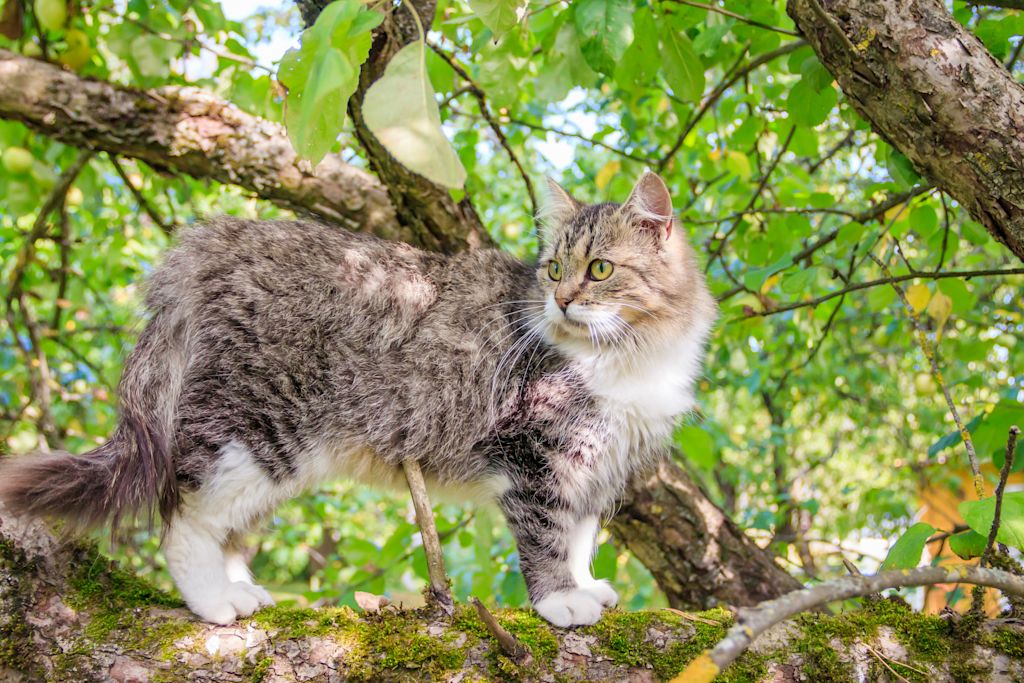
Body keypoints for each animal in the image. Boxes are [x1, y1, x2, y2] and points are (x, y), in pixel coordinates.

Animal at [0, 172, 716, 630]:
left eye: (600, 270)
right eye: (554, 270)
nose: (561, 301)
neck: (633, 359)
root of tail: (219, 240)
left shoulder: (603, 465)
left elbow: (582, 535)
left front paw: (587, 585)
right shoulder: (536, 450)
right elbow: (547, 534)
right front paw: (561, 602)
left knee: (225, 525)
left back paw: (239, 588)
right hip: (257, 429)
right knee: (184, 513)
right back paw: (213, 601)